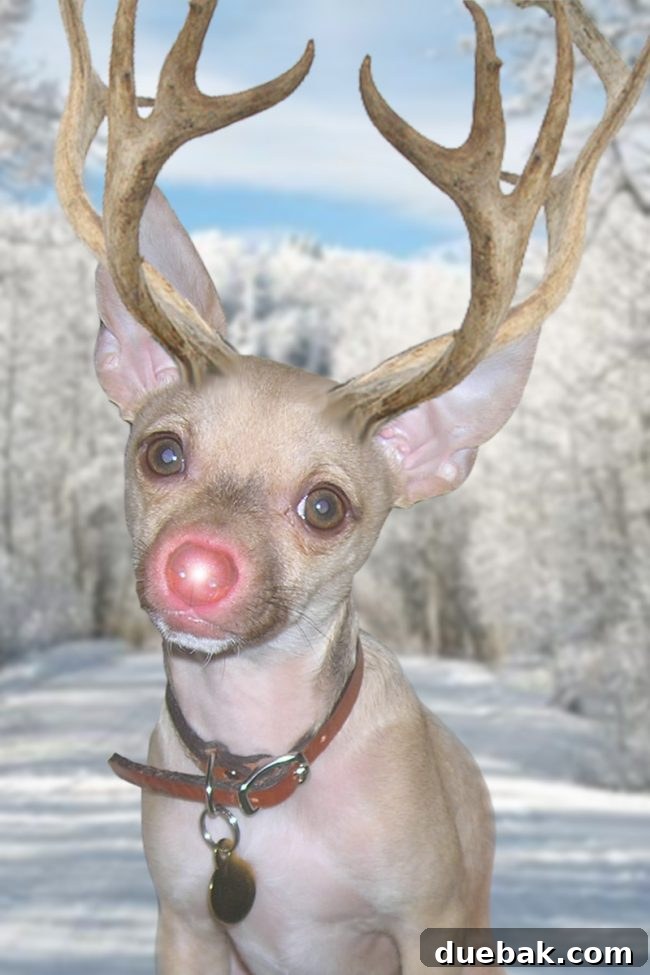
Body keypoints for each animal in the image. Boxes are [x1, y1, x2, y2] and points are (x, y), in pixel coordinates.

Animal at [54, 0, 649, 973]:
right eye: (162, 453)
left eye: (326, 505)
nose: (196, 567)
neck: (259, 776)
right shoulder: (183, 919)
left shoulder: (430, 916)